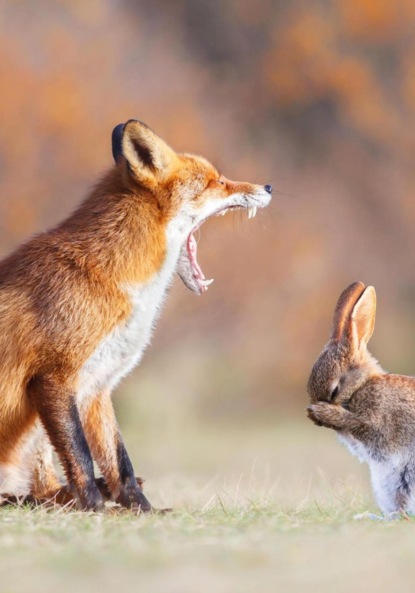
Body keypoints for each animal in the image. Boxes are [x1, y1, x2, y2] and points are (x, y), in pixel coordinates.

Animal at [0, 119, 272, 508]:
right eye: (216, 181)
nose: (268, 187)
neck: (115, 279)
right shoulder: (55, 377)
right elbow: (81, 458)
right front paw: (96, 509)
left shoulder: (98, 385)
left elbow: (120, 461)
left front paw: (142, 509)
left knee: (46, 490)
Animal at [306, 280, 415, 516]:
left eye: (334, 391)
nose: (314, 415)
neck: (362, 385)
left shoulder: (378, 423)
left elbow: (360, 425)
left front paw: (323, 413)